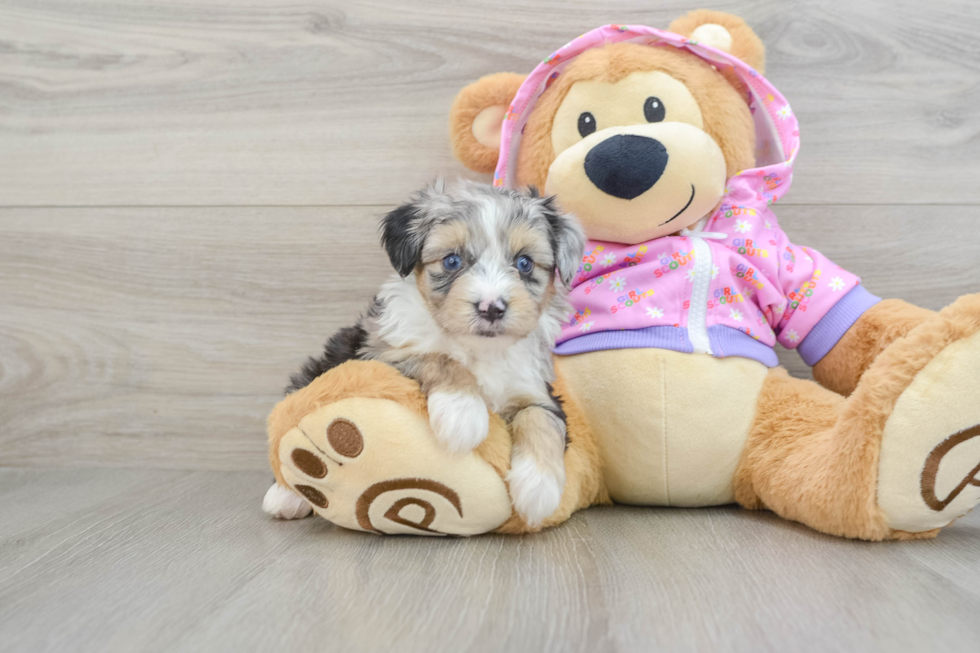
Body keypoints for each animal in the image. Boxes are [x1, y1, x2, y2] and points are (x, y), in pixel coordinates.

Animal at [262, 181, 580, 528]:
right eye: (452, 261)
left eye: (524, 263)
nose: (491, 308)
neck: (477, 348)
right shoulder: (379, 357)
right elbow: (439, 358)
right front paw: (462, 413)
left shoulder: (536, 389)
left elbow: (542, 419)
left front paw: (539, 487)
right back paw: (285, 496)